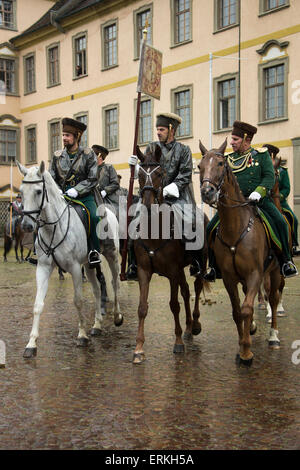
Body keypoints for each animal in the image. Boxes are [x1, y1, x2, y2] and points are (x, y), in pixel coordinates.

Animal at [17, 160, 123, 358]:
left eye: (38, 191)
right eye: (20, 192)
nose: (27, 226)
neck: (53, 228)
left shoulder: (74, 268)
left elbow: (78, 300)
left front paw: (81, 335)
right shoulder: (43, 268)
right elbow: (37, 305)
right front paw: (31, 344)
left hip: (112, 256)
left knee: (115, 284)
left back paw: (117, 316)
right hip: (89, 265)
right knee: (97, 290)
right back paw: (97, 325)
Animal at [134, 145, 209, 366]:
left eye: (159, 174)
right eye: (139, 174)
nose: (147, 204)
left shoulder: (173, 272)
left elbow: (174, 305)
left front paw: (177, 343)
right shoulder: (144, 271)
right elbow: (142, 307)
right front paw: (139, 348)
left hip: (199, 263)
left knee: (196, 287)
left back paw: (195, 324)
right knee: (186, 291)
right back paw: (188, 327)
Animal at [199, 138, 282, 366]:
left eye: (220, 164)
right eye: (199, 166)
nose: (207, 192)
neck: (236, 228)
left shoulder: (255, 274)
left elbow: (246, 309)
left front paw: (246, 352)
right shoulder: (229, 277)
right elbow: (237, 311)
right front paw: (242, 342)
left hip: (275, 271)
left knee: (273, 298)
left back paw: (273, 336)